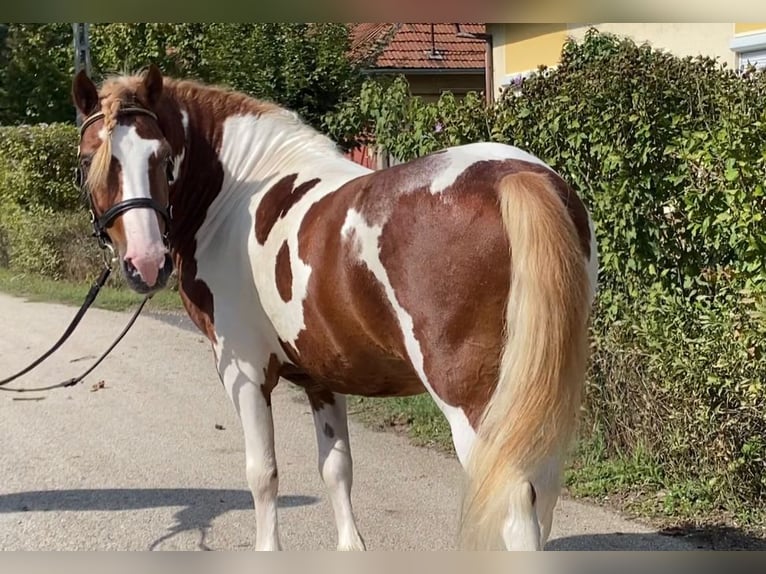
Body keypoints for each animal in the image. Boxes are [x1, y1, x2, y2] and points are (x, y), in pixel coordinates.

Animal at [70, 64, 600, 552]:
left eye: (160, 157)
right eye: (89, 157)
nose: (146, 262)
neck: (232, 201)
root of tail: (514, 176)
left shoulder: (244, 373)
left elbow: (263, 474)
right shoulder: (322, 374)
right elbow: (336, 468)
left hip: (475, 405)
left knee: (516, 510)